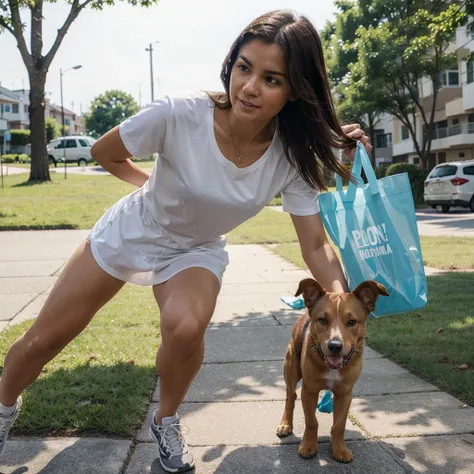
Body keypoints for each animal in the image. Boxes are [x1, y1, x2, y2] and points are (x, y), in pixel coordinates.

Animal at [276, 278, 386, 462]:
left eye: (352, 322)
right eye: (322, 320)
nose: (335, 346)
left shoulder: (345, 393)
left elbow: (339, 425)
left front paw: (339, 449)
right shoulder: (309, 390)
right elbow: (311, 421)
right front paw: (308, 446)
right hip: (291, 368)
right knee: (290, 396)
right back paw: (285, 424)